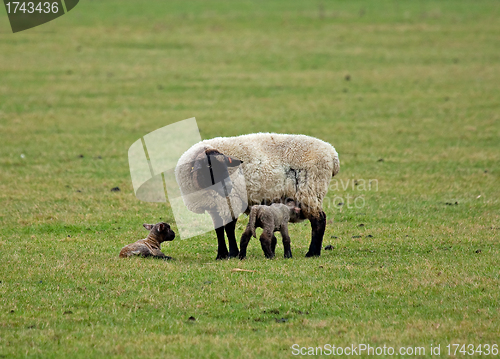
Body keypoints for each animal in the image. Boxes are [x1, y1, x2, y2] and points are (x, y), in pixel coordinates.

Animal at [175, 134, 340, 260]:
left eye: (225, 167)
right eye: (209, 167)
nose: (228, 186)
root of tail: (332, 154)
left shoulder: (231, 200)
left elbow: (229, 228)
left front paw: (233, 253)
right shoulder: (213, 204)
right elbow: (219, 229)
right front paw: (221, 254)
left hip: (310, 190)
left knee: (319, 220)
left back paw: (312, 253)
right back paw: (315, 252)